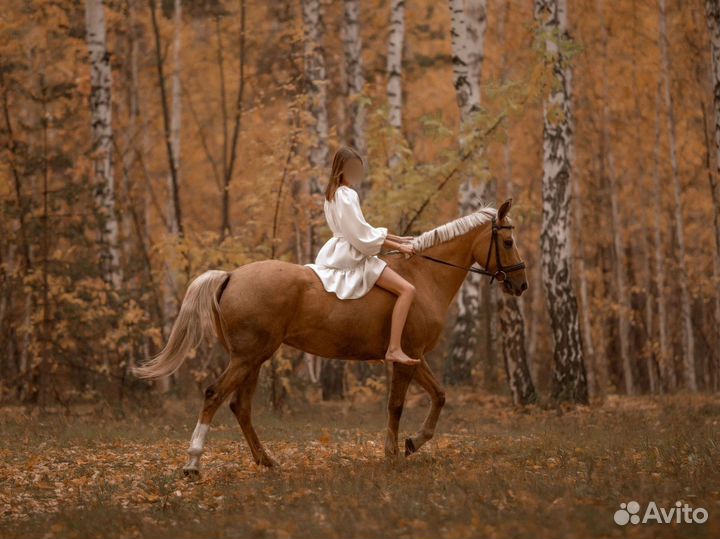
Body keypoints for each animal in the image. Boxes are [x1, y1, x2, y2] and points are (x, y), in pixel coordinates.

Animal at [131, 198, 528, 476]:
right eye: (508, 241)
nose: (521, 284)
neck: (423, 275)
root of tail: (231, 275)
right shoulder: (406, 357)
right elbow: (396, 405)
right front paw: (393, 454)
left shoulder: (417, 357)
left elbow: (440, 396)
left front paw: (414, 442)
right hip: (247, 358)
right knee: (215, 396)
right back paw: (193, 465)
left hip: (254, 359)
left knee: (240, 407)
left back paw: (267, 461)